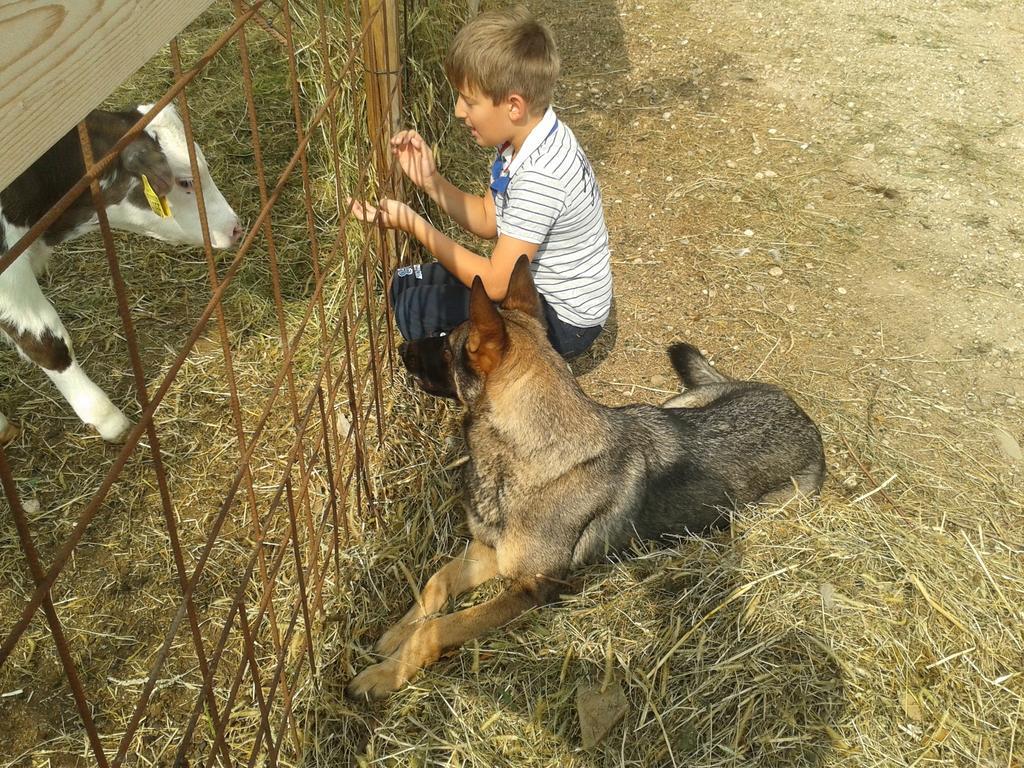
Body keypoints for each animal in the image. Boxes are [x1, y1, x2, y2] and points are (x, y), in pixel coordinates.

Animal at [348, 256, 827, 700]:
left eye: (447, 346)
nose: (401, 350)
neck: (533, 455)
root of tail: (801, 415)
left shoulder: (531, 588)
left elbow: (439, 628)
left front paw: (382, 674)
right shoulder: (491, 551)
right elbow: (436, 582)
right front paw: (394, 637)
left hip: (767, 506)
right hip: (675, 404)